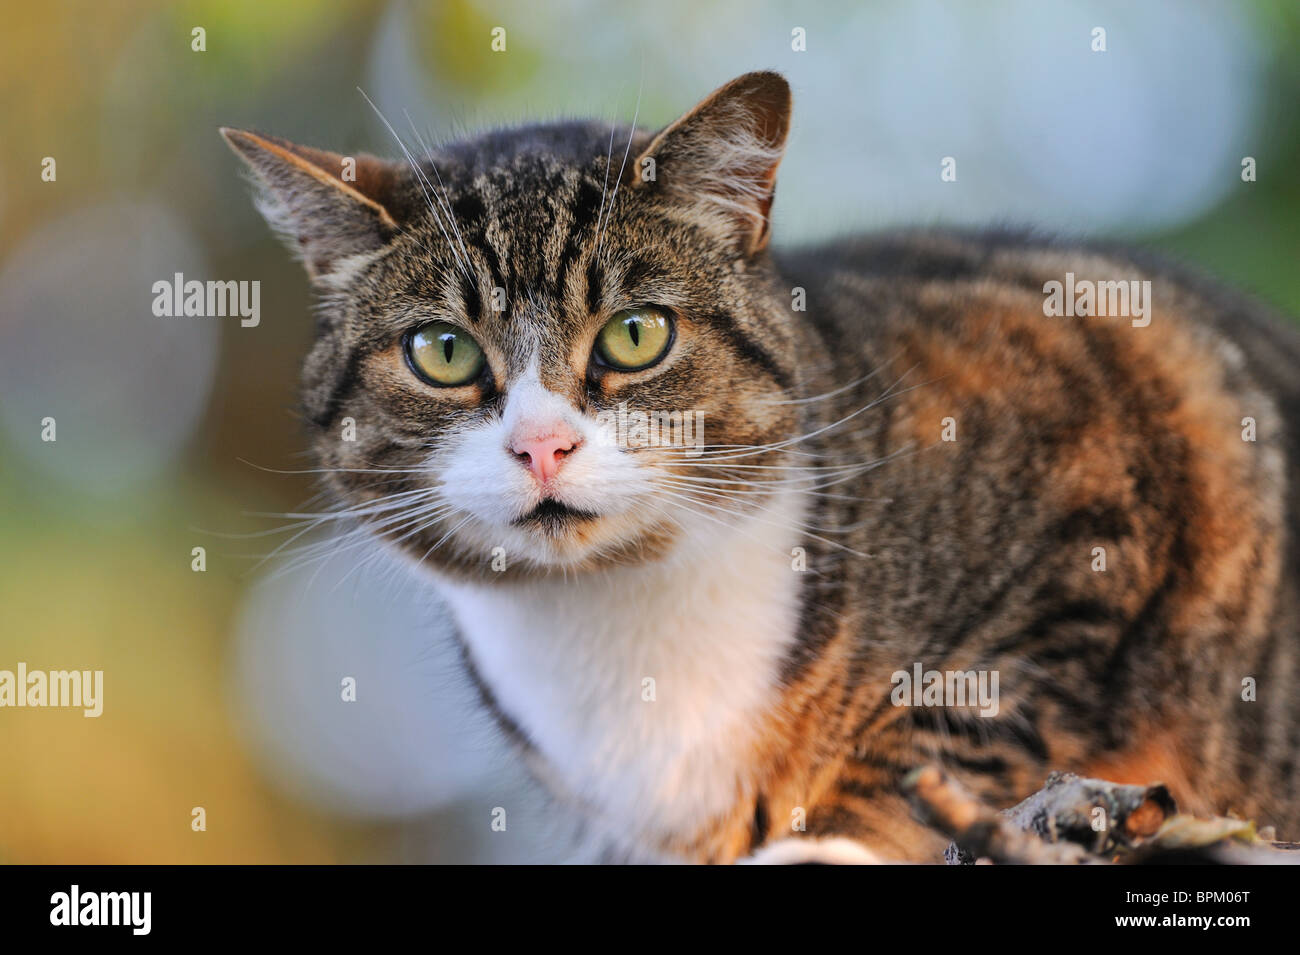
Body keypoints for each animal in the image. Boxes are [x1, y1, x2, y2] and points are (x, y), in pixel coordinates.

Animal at [223, 72, 1300, 867]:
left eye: (637, 333)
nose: (542, 445)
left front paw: (834, 840)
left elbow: (956, 721)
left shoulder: (1103, 478)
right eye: (441, 351)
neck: (619, 619)